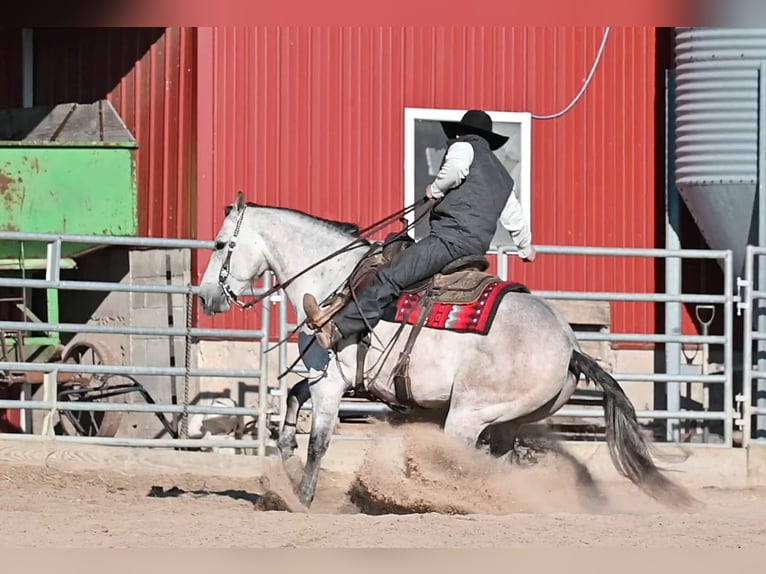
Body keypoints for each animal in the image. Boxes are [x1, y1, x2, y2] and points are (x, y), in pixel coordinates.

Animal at [196, 195, 696, 512]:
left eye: (220, 244)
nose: (205, 297)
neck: (333, 277)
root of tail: (570, 345)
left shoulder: (331, 383)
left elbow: (319, 442)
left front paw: (301, 498)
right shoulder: (327, 378)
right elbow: (292, 401)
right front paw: (284, 459)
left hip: (468, 415)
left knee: (462, 464)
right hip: (507, 422)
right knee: (496, 465)